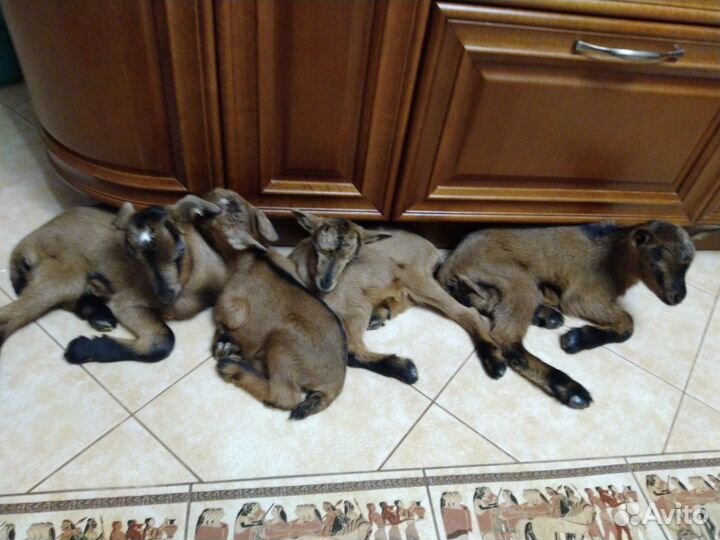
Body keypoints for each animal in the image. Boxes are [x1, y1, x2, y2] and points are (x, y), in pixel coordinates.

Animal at [0, 195, 224, 363]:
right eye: (134, 256)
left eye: (180, 250)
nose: (165, 296)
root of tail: (23, 246)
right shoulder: (126, 303)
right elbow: (162, 340)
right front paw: (80, 348)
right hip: (65, 275)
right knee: (11, 315)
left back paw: (99, 313)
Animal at [197, 189, 347, 419]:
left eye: (221, 207)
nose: (212, 191)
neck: (255, 256)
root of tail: (333, 386)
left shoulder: (230, 306)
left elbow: (223, 322)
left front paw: (222, 344)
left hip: (282, 345)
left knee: (284, 396)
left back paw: (232, 367)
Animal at [289, 212, 507, 384]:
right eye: (321, 250)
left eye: (350, 258)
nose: (326, 283)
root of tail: (432, 249)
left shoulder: (353, 306)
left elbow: (350, 351)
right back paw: (381, 316)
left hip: (415, 279)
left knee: (466, 313)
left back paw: (494, 361)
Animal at [437, 220, 711, 408]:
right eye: (655, 265)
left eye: (688, 266)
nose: (678, 298)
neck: (613, 258)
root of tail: (451, 264)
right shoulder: (581, 297)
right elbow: (628, 323)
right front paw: (577, 339)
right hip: (516, 278)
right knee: (506, 339)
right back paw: (570, 389)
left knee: (488, 305)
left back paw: (545, 316)